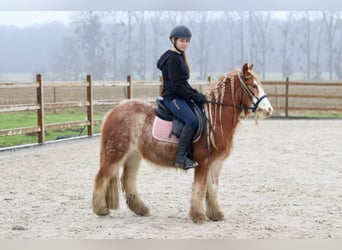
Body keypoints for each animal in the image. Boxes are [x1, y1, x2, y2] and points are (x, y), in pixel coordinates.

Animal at [92, 63, 274, 224]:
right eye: (254, 85)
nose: (269, 110)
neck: (214, 118)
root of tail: (113, 111)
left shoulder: (215, 163)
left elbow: (212, 189)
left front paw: (216, 214)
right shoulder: (204, 162)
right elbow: (200, 188)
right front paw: (198, 216)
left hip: (133, 156)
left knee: (128, 181)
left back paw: (141, 209)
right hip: (115, 154)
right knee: (102, 177)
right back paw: (100, 209)